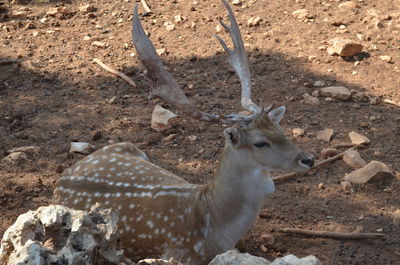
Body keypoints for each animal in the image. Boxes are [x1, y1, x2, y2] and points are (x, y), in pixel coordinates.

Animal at [54, 1, 316, 262]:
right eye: (260, 142)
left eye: (280, 129)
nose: (308, 159)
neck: (213, 224)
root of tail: (60, 180)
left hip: (130, 147)